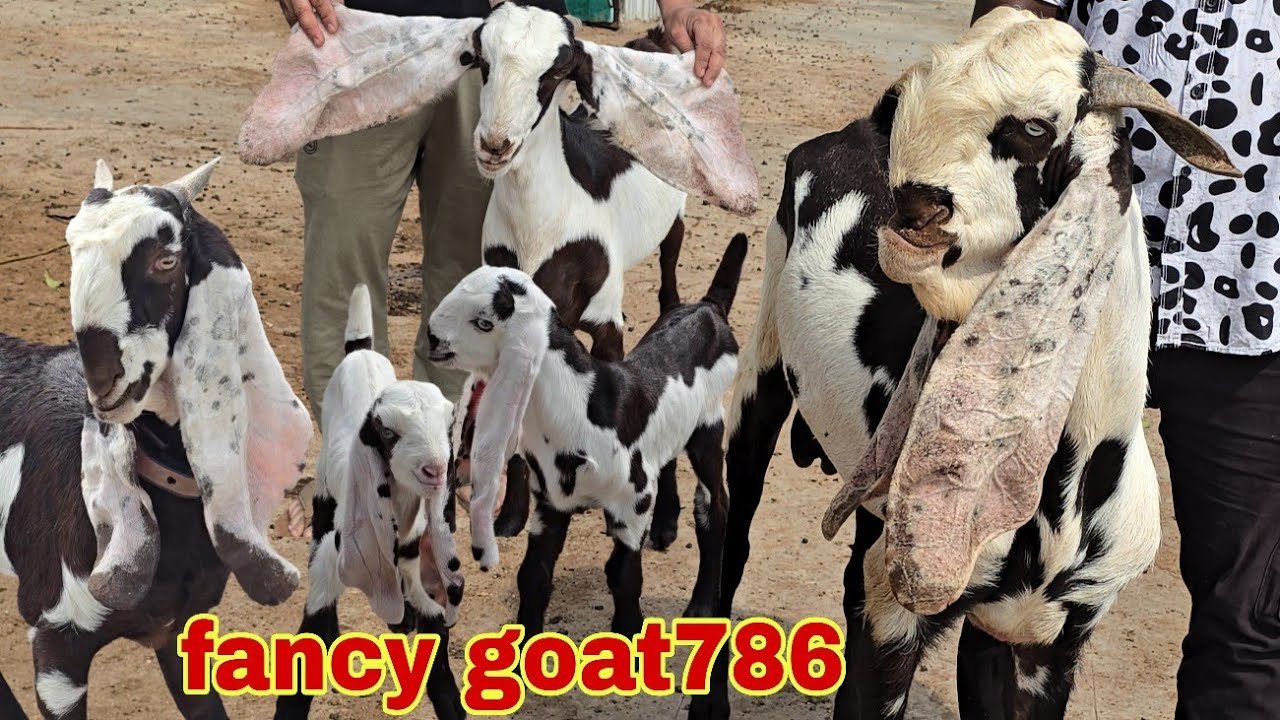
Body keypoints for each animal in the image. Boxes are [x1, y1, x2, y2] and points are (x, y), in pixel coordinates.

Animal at [276, 285, 462, 720]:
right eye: (387, 431)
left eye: (450, 424)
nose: (435, 469)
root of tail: (359, 351)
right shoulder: (331, 569)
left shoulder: (417, 574)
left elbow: (438, 655)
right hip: (324, 490)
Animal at [424, 233, 746, 636]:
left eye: (484, 322)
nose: (432, 338)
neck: (586, 404)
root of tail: (708, 309)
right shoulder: (550, 504)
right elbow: (532, 577)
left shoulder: (633, 501)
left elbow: (623, 577)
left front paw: (629, 633)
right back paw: (664, 529)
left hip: (709, 424)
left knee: (714, 506)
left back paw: (702, 607)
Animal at [699, 10, 1242, 720]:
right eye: (905, 102)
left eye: (1035, 128)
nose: (912, 210)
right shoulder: (893, 614)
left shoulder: (1041, 636)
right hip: (761, 359)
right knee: (734, 521)